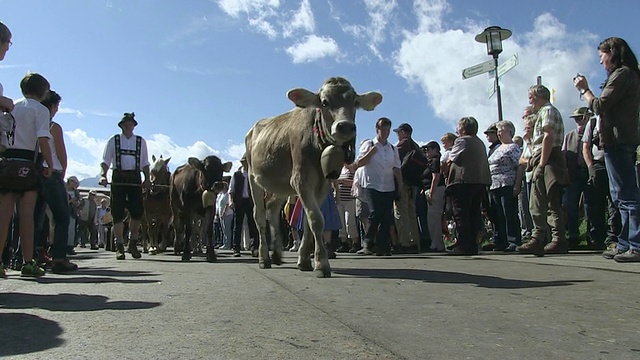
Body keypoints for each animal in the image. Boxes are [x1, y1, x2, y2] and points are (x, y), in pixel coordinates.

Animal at [246, 77, 382, 278]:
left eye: (355, 102)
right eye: (324, 102)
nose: (345, 126)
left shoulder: (322, 185)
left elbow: (309, 222)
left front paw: (304, 261)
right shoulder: (301, 180)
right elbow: (316, 219)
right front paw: (322, 263)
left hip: (281, 185)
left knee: (272, 209)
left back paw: (277, 253)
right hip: (253, 177)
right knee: (260, 215)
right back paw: (264, 258)